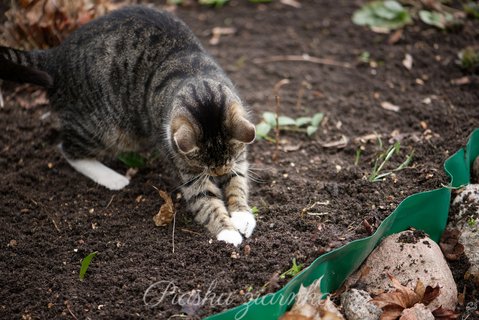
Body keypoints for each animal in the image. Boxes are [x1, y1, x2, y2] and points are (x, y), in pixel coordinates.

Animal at [0, 5, 256, 246]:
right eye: (203, 165)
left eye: (226, 162)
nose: (219, 173)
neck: (194, 75)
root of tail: (56, 56)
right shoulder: (186, 166)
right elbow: (206, 201)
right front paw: (228, 233)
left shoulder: (238, 157)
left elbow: (238, 183)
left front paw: (242, 217)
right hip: (103, 128)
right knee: (68, 149)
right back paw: (113, 179)